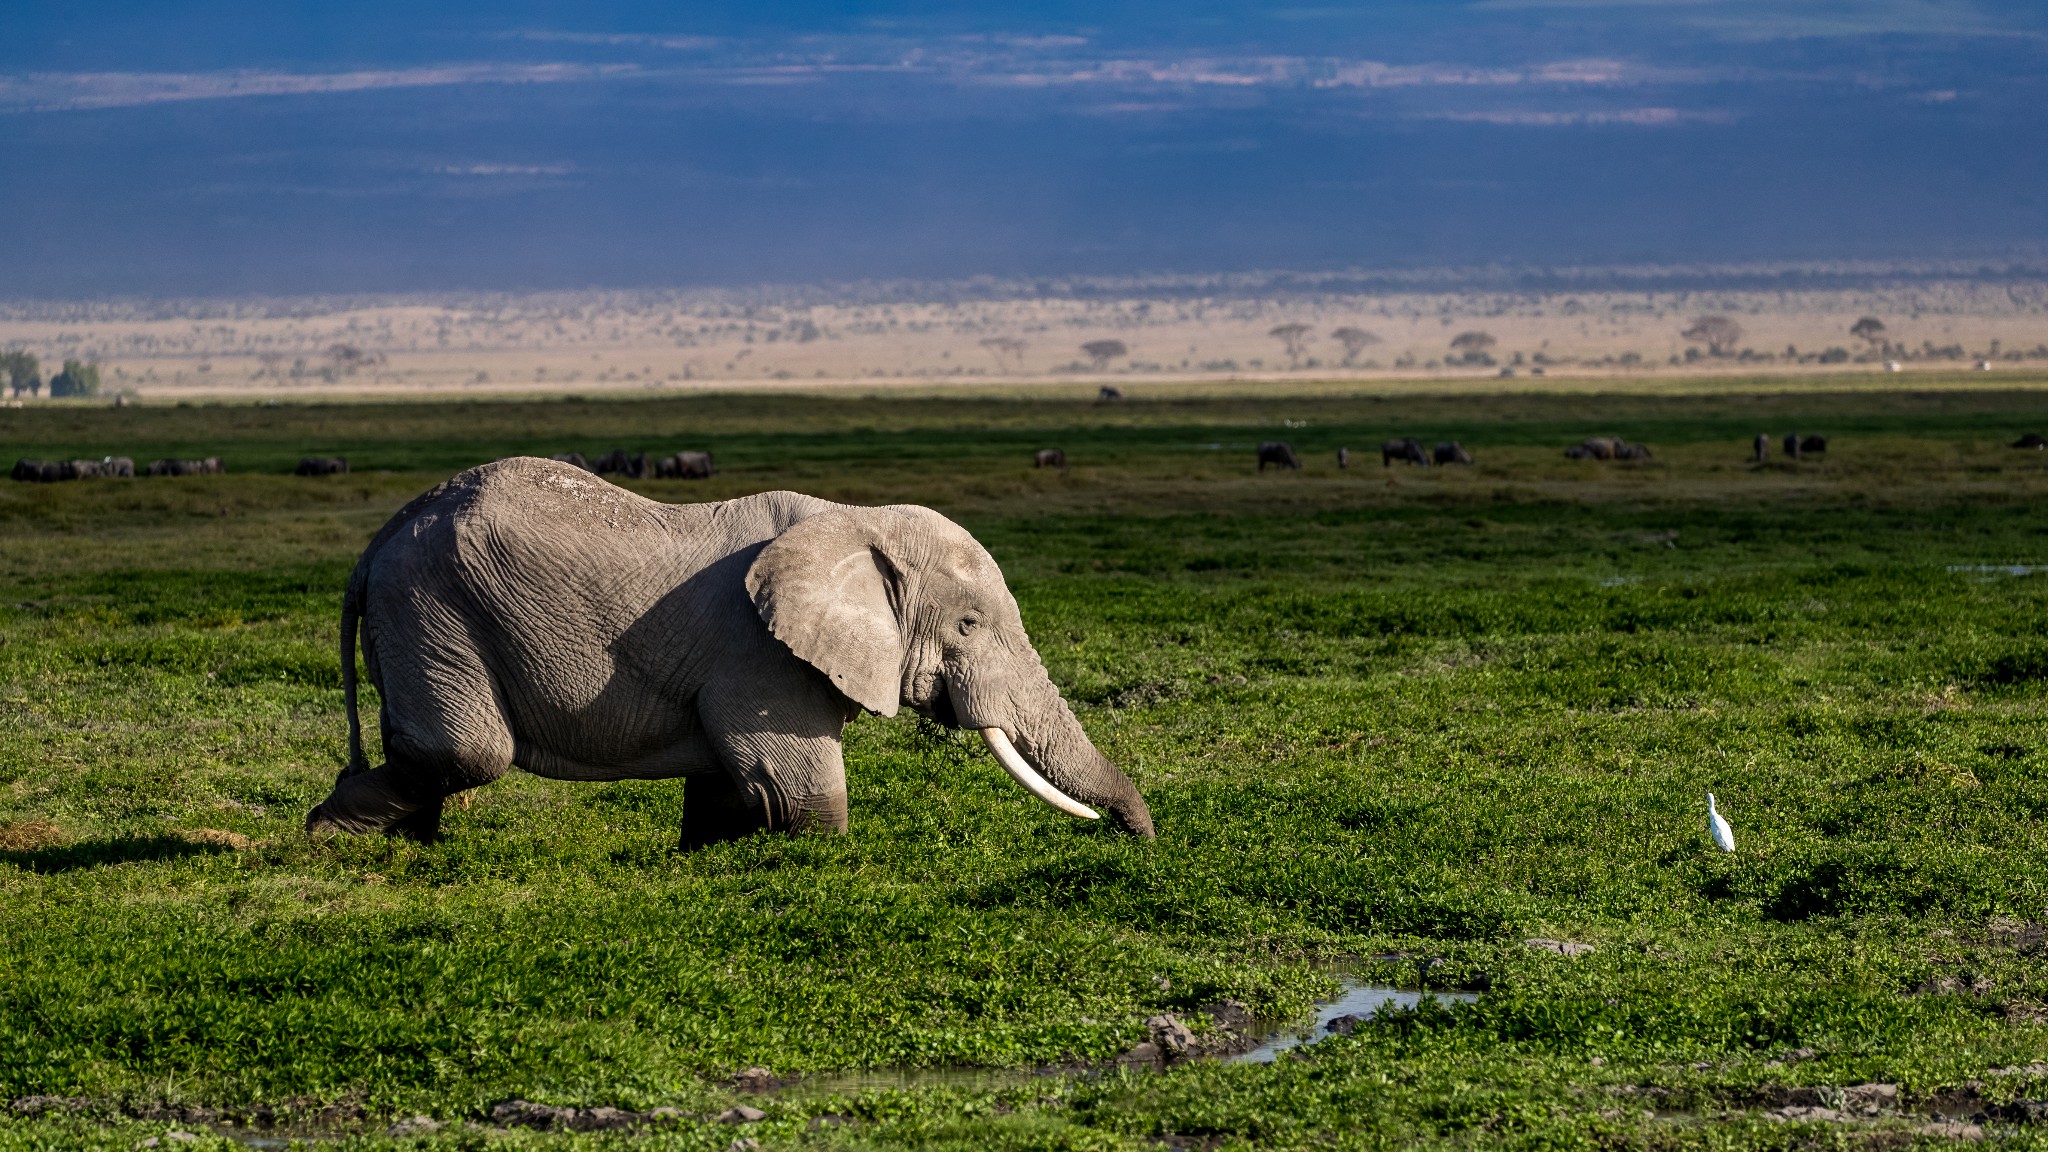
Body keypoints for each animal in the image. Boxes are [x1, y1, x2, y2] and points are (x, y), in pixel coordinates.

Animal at [311, 455, 1163, 844]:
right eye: (968, 627)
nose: (1130, 837)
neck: (855, 519)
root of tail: (375, 544)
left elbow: (729, 792)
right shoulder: (757, 653)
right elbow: (803, 795)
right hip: (431, 608)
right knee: (465, 750)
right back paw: (329, 840)